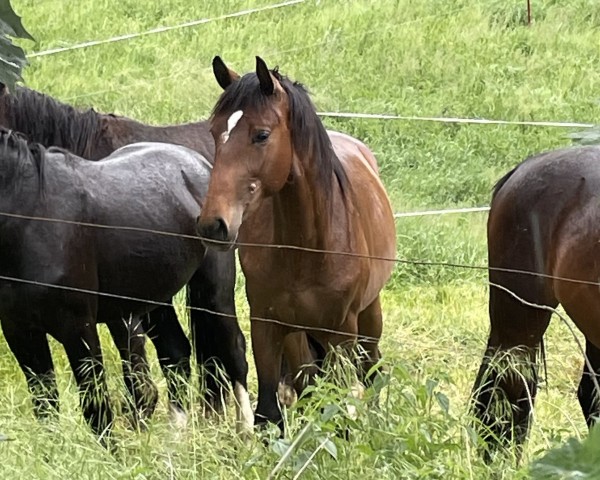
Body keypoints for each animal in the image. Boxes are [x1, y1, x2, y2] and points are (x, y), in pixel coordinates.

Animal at [0, 86, 246, 424]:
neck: (31, 214)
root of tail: (196, 163)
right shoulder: (19, 330)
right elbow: (47, 409)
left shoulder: (83, 326)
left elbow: (103, 404)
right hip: (156, 296)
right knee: (177, 352)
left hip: (214, 292)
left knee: (233, 351)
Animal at [197, 57, 398, 432]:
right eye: (215, 132)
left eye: (261, 134)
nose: (213, 224)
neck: (306, 248)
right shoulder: (267, 326)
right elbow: (269, 413)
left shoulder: (340, 334)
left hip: (368, 317)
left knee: (371, 371)